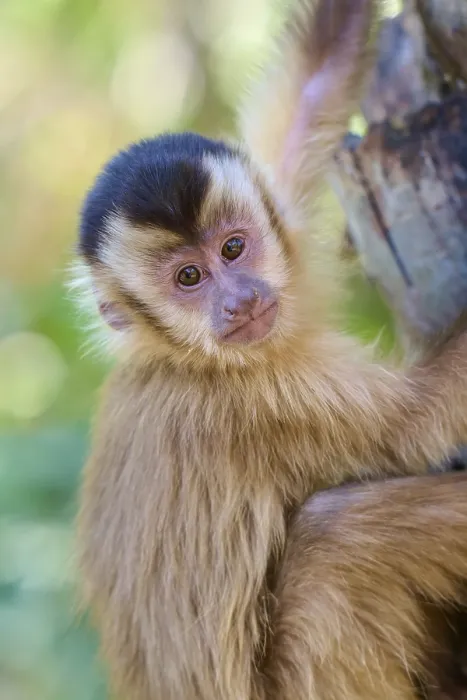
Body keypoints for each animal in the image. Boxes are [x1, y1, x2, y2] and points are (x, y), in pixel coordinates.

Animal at [74, 1, 467, 699]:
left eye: (233, 248)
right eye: (189, 278)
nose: (238, 300)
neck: (183, 357)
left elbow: (311, 91)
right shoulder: (257, 401)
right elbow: (419, 422)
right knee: (338, 535)